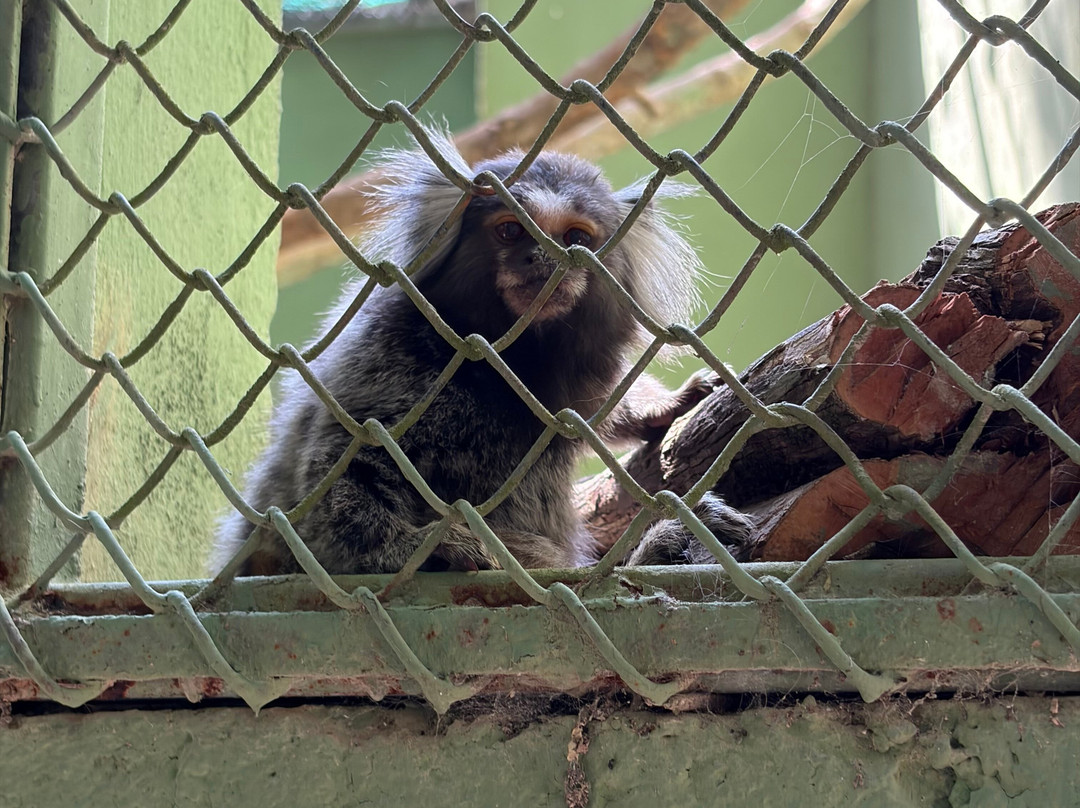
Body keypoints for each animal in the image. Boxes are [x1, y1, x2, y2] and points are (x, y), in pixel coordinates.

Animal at [212, 134, 753, 576]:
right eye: (511, 231)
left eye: (576, 239)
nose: (544, 261)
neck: (505, 361)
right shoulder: (392, 358)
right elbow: (337, 481)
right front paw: (428, 545)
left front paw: (662, 406)